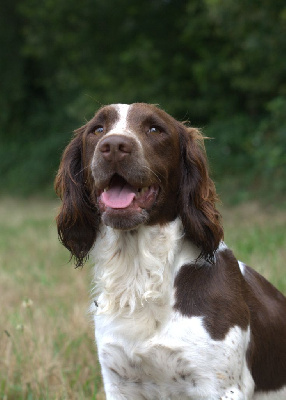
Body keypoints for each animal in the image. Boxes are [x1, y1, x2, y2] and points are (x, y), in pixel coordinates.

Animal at [55, 104, 286, 400]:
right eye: (98, 129)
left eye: (155, 129)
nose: (113, 146)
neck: (140, 276)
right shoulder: (118, 381)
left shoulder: (223, 387)